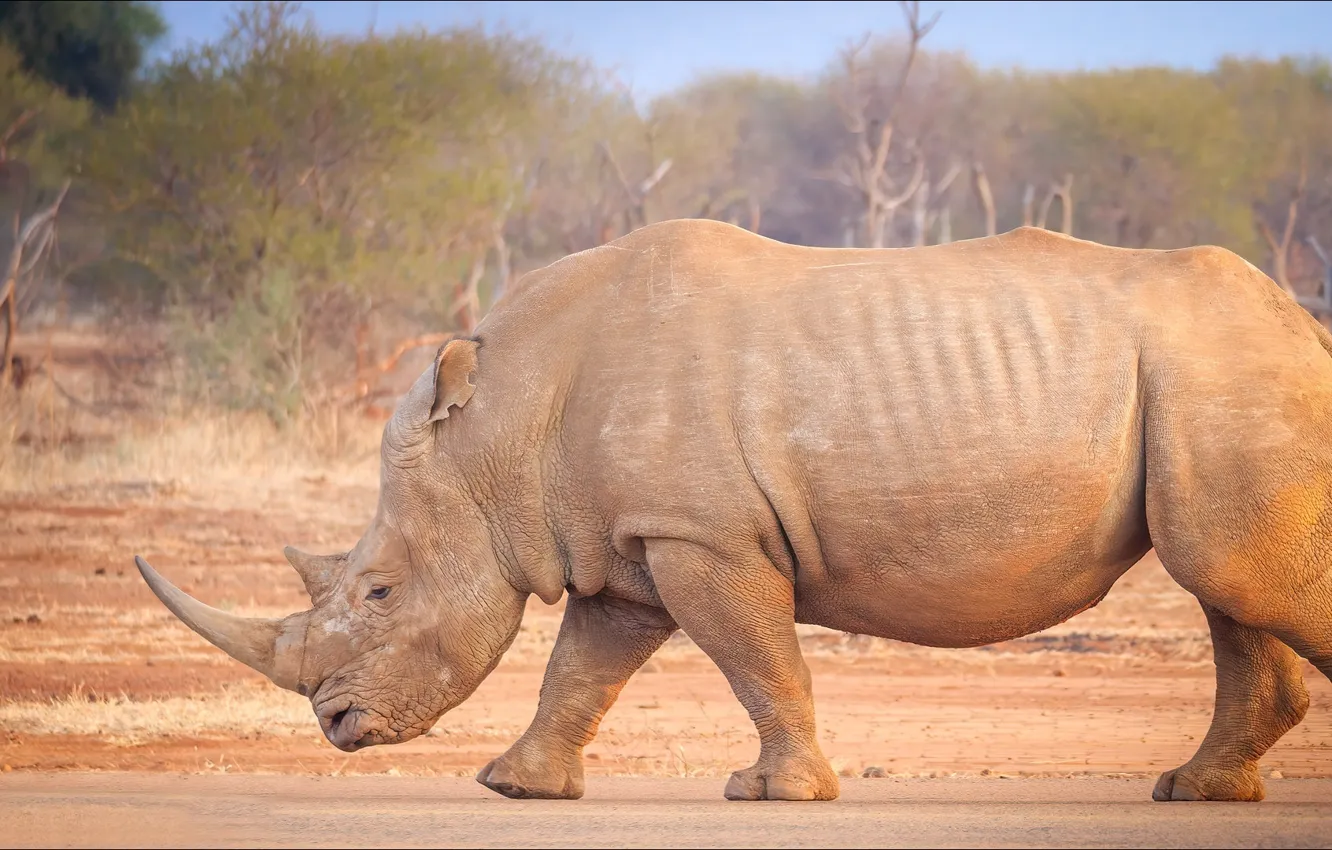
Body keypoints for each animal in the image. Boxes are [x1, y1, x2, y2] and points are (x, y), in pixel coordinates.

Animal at [136, 219, 1332, 803]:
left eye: (380, 591)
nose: (336, 726)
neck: (500, 426)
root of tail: (1303, 321)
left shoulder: (701, 533)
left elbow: (758, 657)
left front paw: (773, 794)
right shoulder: (626, 541)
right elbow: (585, 664)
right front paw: (517, 788)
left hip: (1228, 368)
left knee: (1233, 577)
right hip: (1215, 379)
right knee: (1229, 581)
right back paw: (1193, 793)